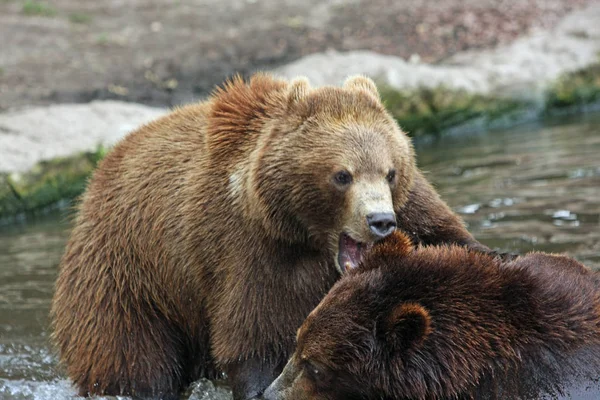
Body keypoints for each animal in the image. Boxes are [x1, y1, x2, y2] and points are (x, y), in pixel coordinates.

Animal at [50, 73, 488, 398]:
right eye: (342, 175)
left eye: (390, 171)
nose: (380, 220)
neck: (306, 236)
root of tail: (98, 176)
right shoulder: (247, 249)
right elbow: (252, 337)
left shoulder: (414, 207)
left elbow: (448, 241)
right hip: (127, 275)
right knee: (131, 359)